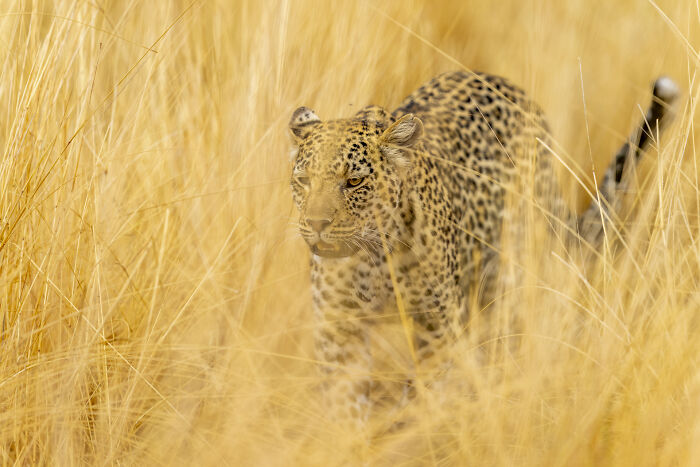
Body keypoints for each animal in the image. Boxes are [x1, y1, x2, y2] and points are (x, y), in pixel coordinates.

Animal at [288, 70, 678, 432]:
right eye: (303, 181)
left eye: (354, 181)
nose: (317, 223)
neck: (374, 259)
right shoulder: (339, 327)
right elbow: (345, 400)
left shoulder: (438, 326)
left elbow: (422, 393)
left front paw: (410, 431)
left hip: (506, 277)